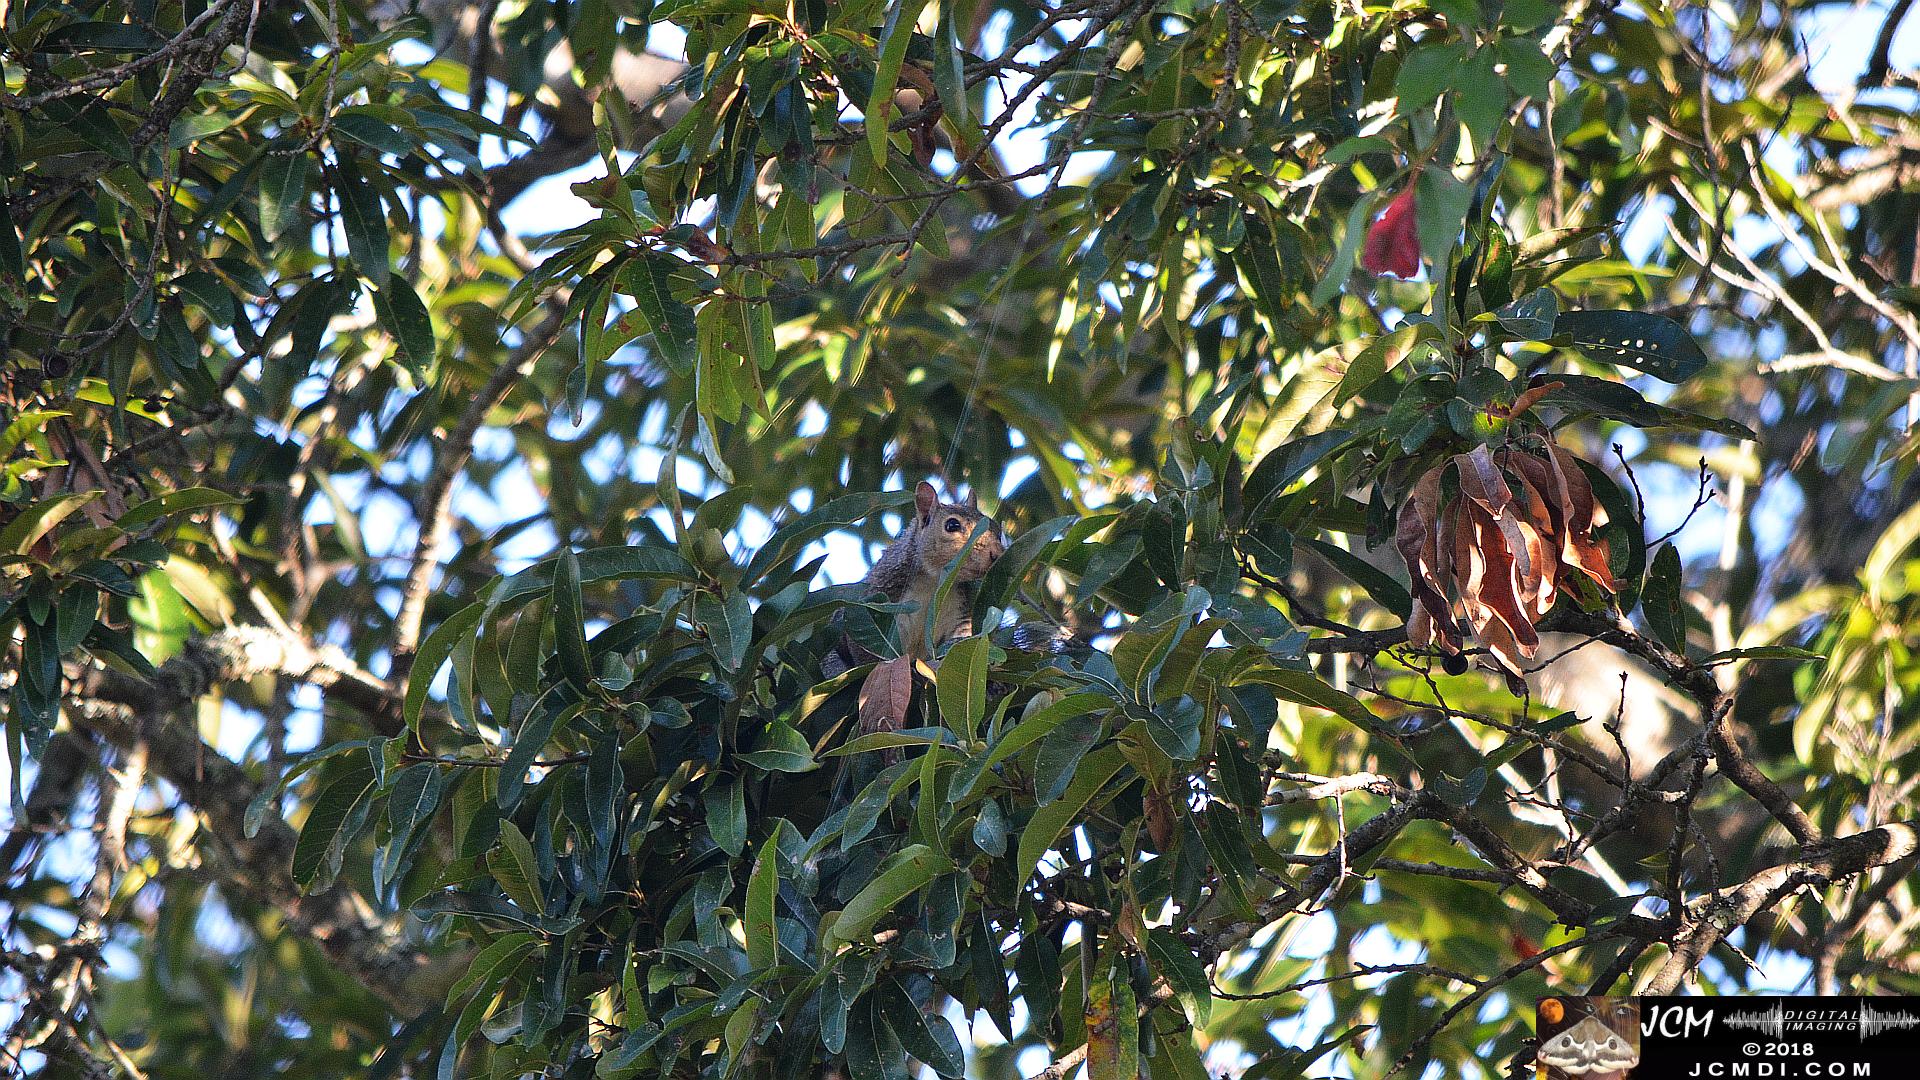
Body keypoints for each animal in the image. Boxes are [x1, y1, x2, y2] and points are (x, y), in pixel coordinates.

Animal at [822, 481, 1006, 678]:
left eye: (995, 526)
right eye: (952, 525)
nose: (997, 553)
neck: (933, 582)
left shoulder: (960, 610)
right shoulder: (879, 597)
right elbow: (863, 654)